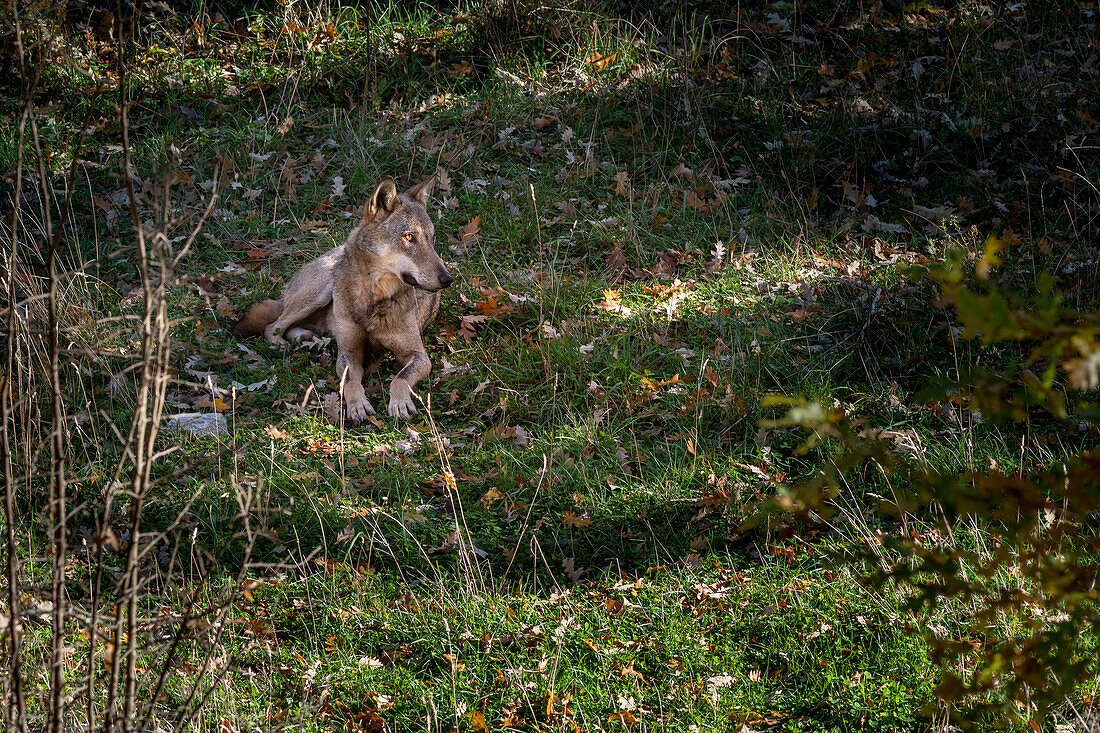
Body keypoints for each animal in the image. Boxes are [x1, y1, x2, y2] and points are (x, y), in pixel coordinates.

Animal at [234, 173, 453, 420]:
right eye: (409, 237)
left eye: (432, 239)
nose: (447, 279)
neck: (373, 298)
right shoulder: (349, 353)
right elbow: (349, 381)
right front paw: (358, 405)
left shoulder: (419, 357)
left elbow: (399, 379)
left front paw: (399, 403)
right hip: (322, 290)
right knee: (273, 326)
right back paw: (285, 343)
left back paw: (304, 337)